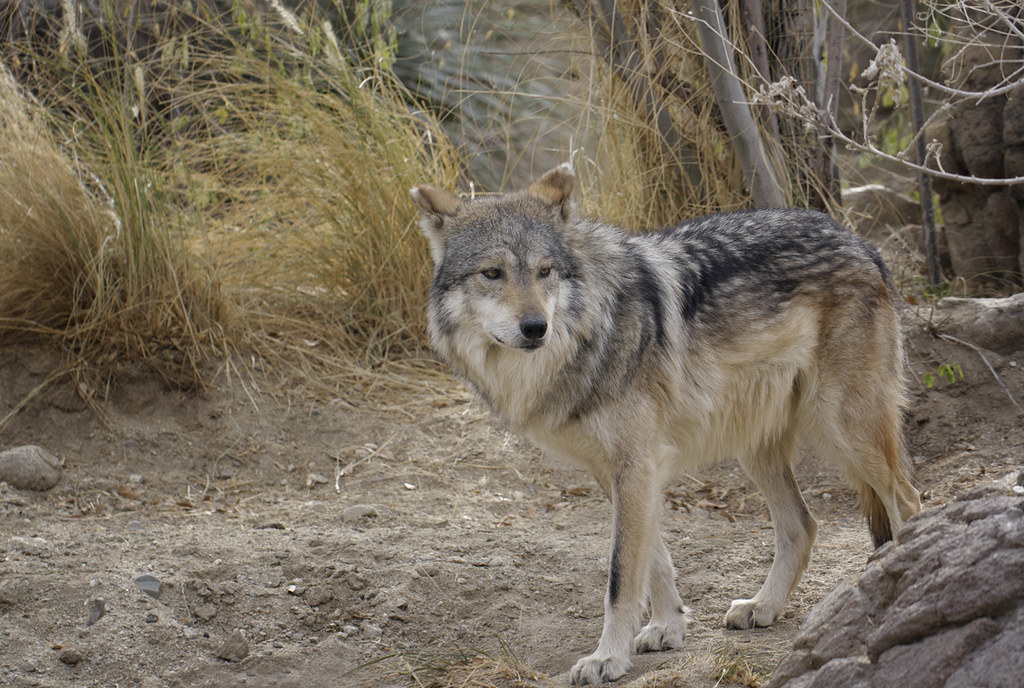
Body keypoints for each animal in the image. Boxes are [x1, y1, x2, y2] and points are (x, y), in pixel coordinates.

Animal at [411, 165, 921, 685]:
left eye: (544, 271)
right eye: (492, 273)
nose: (536, 327)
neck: (595, 326)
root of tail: (859, 240)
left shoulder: (637, 465)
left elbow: (620, 577)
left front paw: (607, 658)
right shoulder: (622, 471)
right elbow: (652, 563)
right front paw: (667, 628)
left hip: (843, 425)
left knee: (907, 500)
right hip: (757, 446)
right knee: (803, 525)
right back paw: (762, 606)